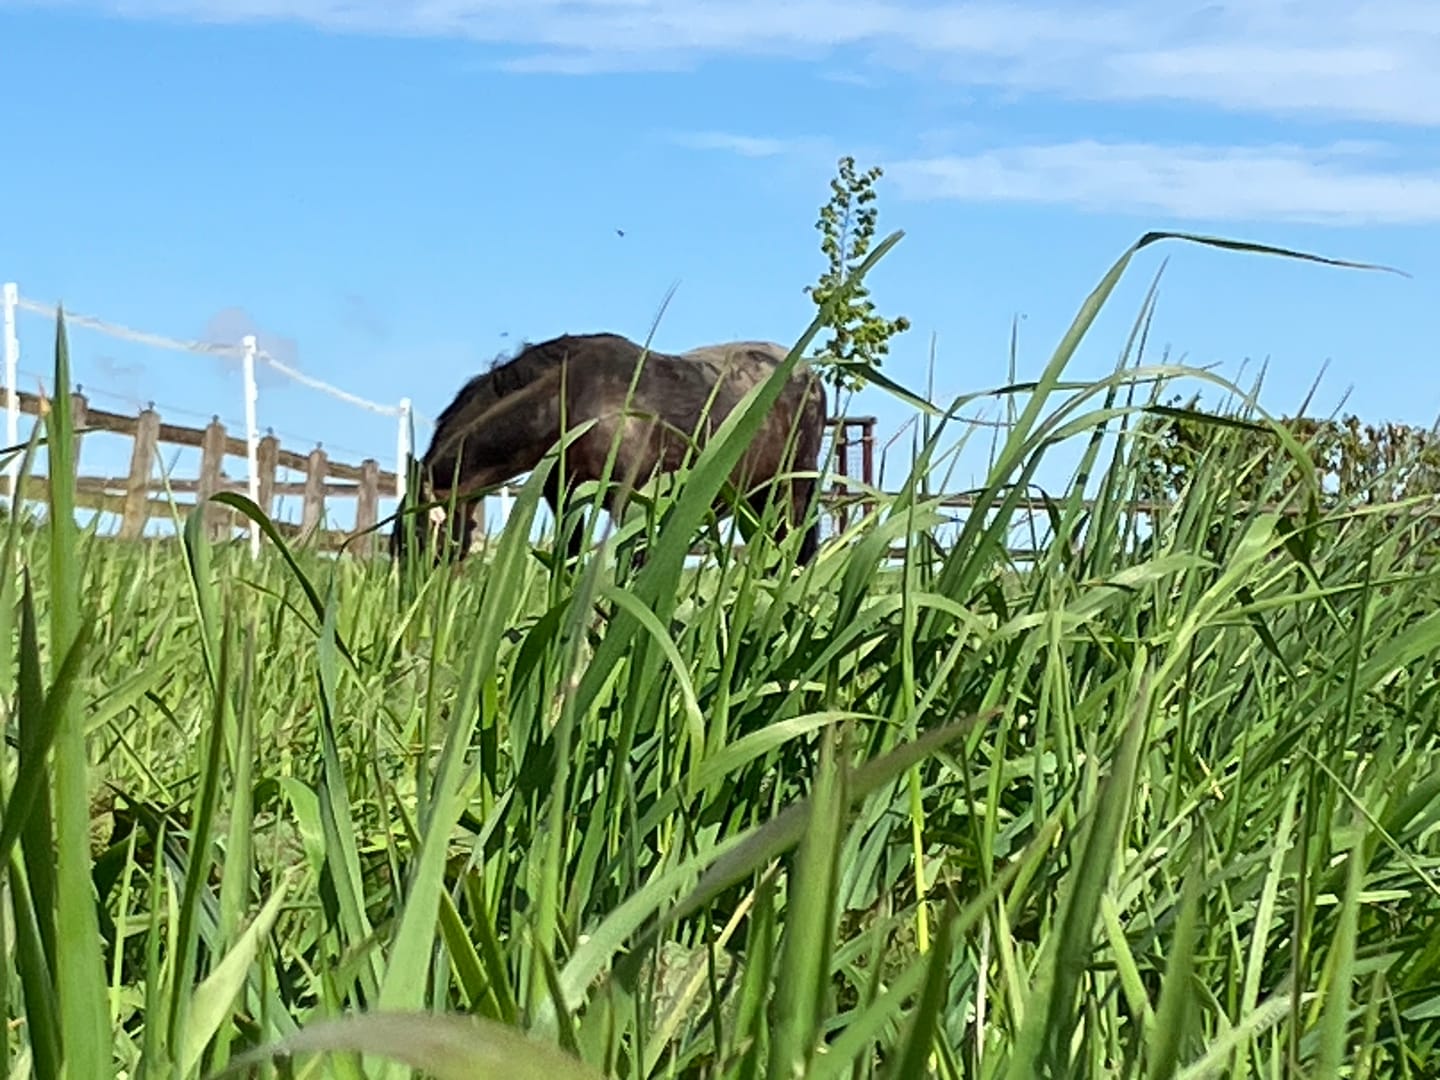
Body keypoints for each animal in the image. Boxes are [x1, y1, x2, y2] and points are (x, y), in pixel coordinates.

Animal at [389, 331, 828, 569]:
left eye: (417, 541)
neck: (571, 399)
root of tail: (810, 375)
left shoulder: (632, 500)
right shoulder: (565, 498)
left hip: (792, 493)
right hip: (757, 498)